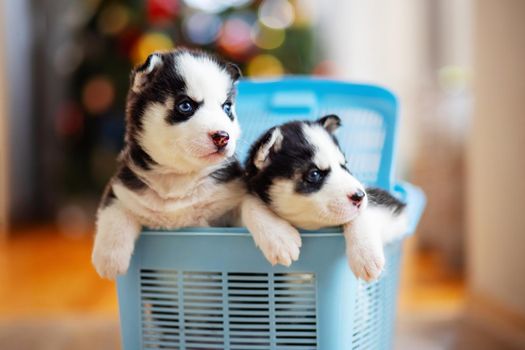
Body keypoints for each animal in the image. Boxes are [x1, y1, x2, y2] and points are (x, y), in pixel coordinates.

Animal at [91, 49, 244, 278]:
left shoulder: (231, 195)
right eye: (185, 105)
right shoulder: (123, 187)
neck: (178, 176)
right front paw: (109, 260)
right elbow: (114, 210)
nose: (222, 137)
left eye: (226, 108)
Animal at [242, 116, 406, 280]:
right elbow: (248, 201)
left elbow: (365, 213)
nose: (359, 196)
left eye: (344, 166)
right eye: (314, 174)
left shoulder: (394, 208)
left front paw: (365, 254)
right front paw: (278, 237)